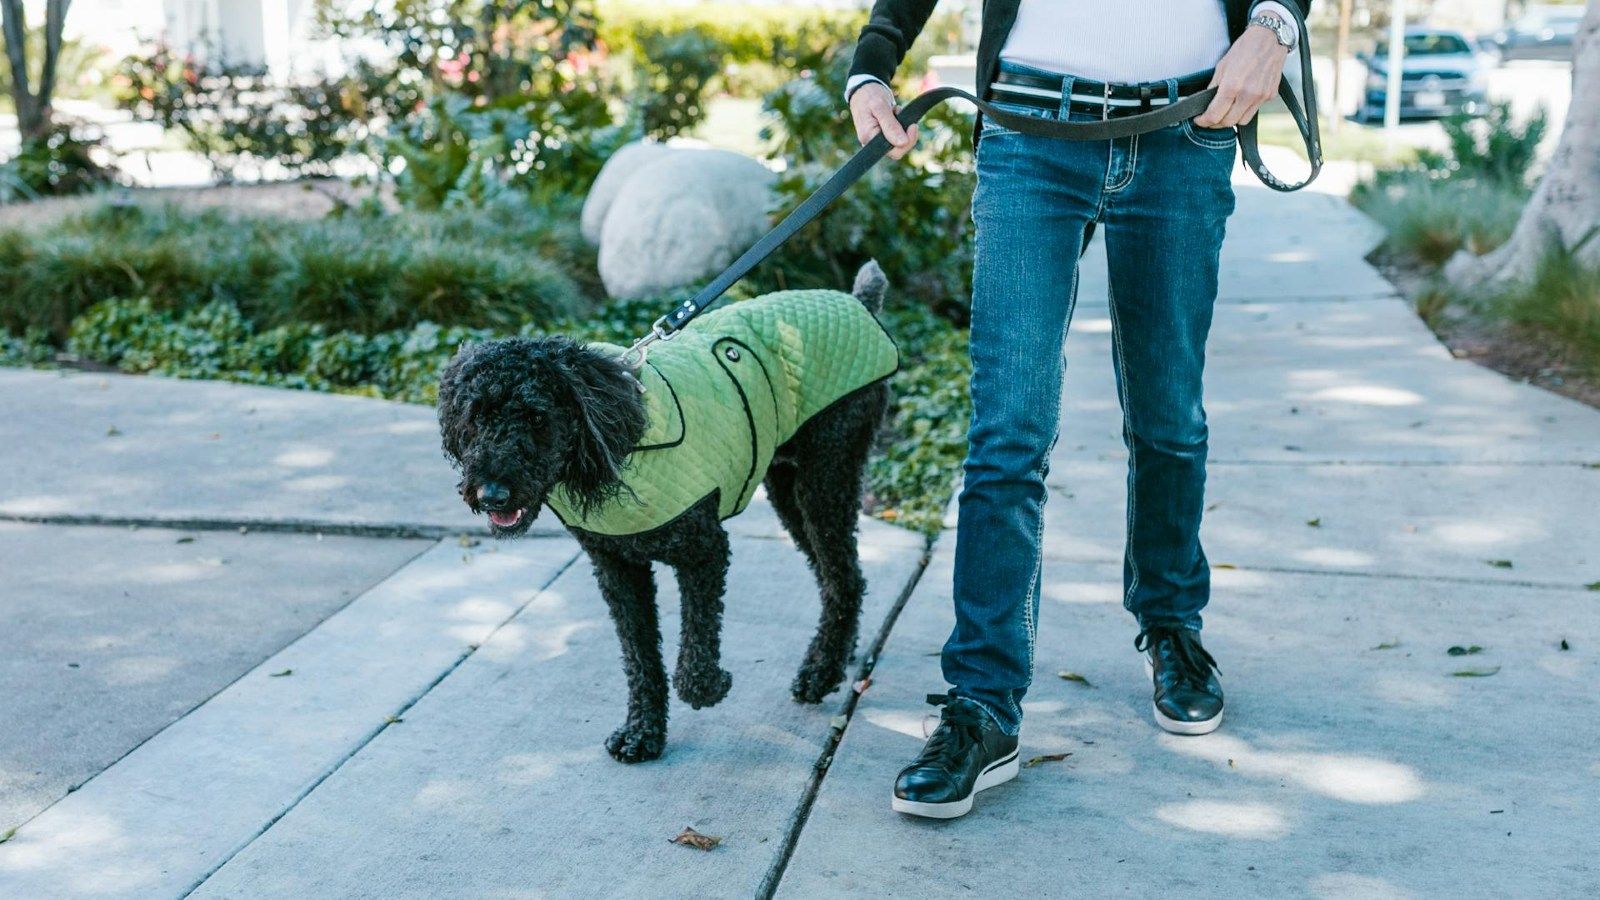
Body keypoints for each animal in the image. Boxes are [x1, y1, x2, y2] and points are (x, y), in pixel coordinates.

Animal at [438, 262, 889, 759]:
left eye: (537, 416)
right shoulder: (617, 569)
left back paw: (820, 673)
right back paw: (839, 654)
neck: (614, 443)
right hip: (788, 489)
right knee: (836, 574)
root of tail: (858, 302)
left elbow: (693, 657)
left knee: (843, 574)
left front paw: (712, 684)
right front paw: (643, 731)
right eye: (476, 417)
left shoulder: (704, 551)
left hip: (826, 477)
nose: (491, 494)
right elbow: (640, 658)